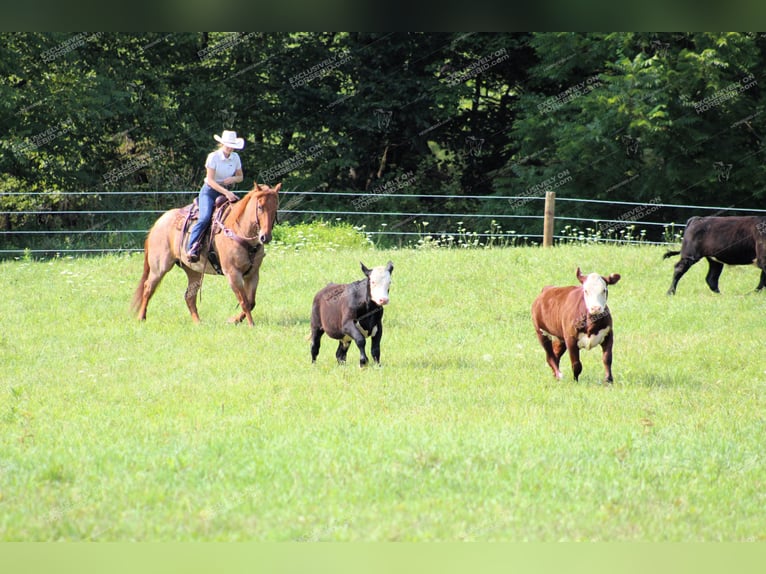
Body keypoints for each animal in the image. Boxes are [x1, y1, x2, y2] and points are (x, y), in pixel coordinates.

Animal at [133, 182, 282, 326]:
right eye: (260, 207)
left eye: (275, 207)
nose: (265, 237)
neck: (239, 231)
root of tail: (158, 222)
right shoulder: (232, 274)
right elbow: (244, 302)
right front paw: (251, 324)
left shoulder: (253, 274)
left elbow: (251, 302)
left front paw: (233, 320)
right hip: (159, 267)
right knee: (148, 288)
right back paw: (141, 318)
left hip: (194, 271)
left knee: (189, 296)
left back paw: (198, 322)